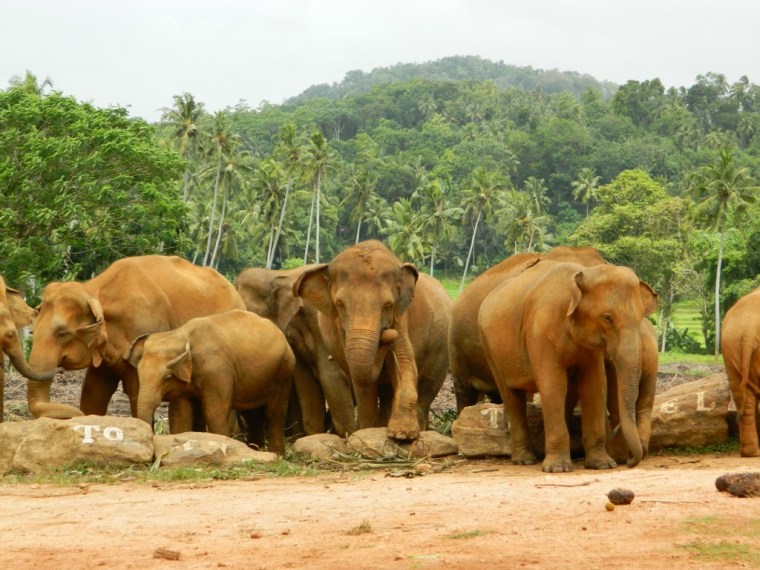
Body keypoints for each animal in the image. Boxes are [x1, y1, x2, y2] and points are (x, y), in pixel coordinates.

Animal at [28, 255, 246, 423]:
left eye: (62, 334)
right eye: (32, 331)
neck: (94, 288)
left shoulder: (144, 328)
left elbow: (136, 390)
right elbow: (93, 391)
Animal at [124, 310, 295, 454]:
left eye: (167, 377)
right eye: (139, 374)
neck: (180, 335)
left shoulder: (218, 371)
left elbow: (214, 412)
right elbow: (181, 414)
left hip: (284, 371)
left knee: (274, 413)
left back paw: (276, 455)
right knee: (253, 415)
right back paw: (255, 451)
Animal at [294, 240, 452, 441]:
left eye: (388, 305)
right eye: (340, 305)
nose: (387, 334)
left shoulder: (400, 317)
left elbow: (405, 361)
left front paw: (403, 435)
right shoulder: (341, 329)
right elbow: (362, 382)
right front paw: (367, 431)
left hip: (441, 349)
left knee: (427, 386)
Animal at [479, 259, 658, 472]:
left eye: (641, 318)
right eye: (607, 318)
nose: (630, 461)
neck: (582, 273)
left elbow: (594, 387)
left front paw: (602, 465)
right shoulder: (539, 333)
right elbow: (553, 385)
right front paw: (558, 469)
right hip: (490, 350)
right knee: (512, 398)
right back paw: (524, 460)